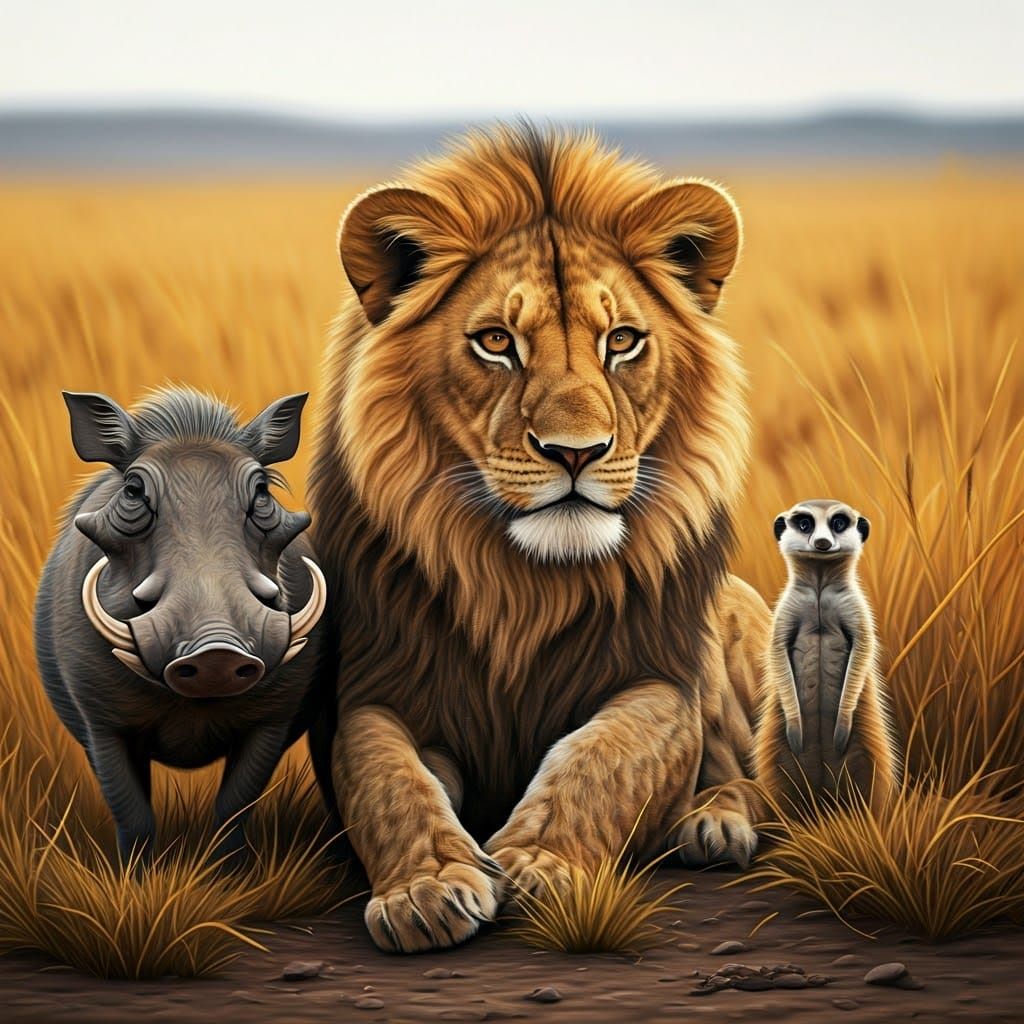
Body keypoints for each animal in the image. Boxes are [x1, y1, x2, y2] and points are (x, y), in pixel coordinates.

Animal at [307, 124, 772, 953]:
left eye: (623, 340)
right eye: (496, 341)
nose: (576, 452)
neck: (523, 582)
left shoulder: (661, 680)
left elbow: (599, 758)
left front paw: (538, 863)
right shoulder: (378, 690)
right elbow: (387, 781)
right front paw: (428, 887)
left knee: (756, 776)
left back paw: (712, 822)